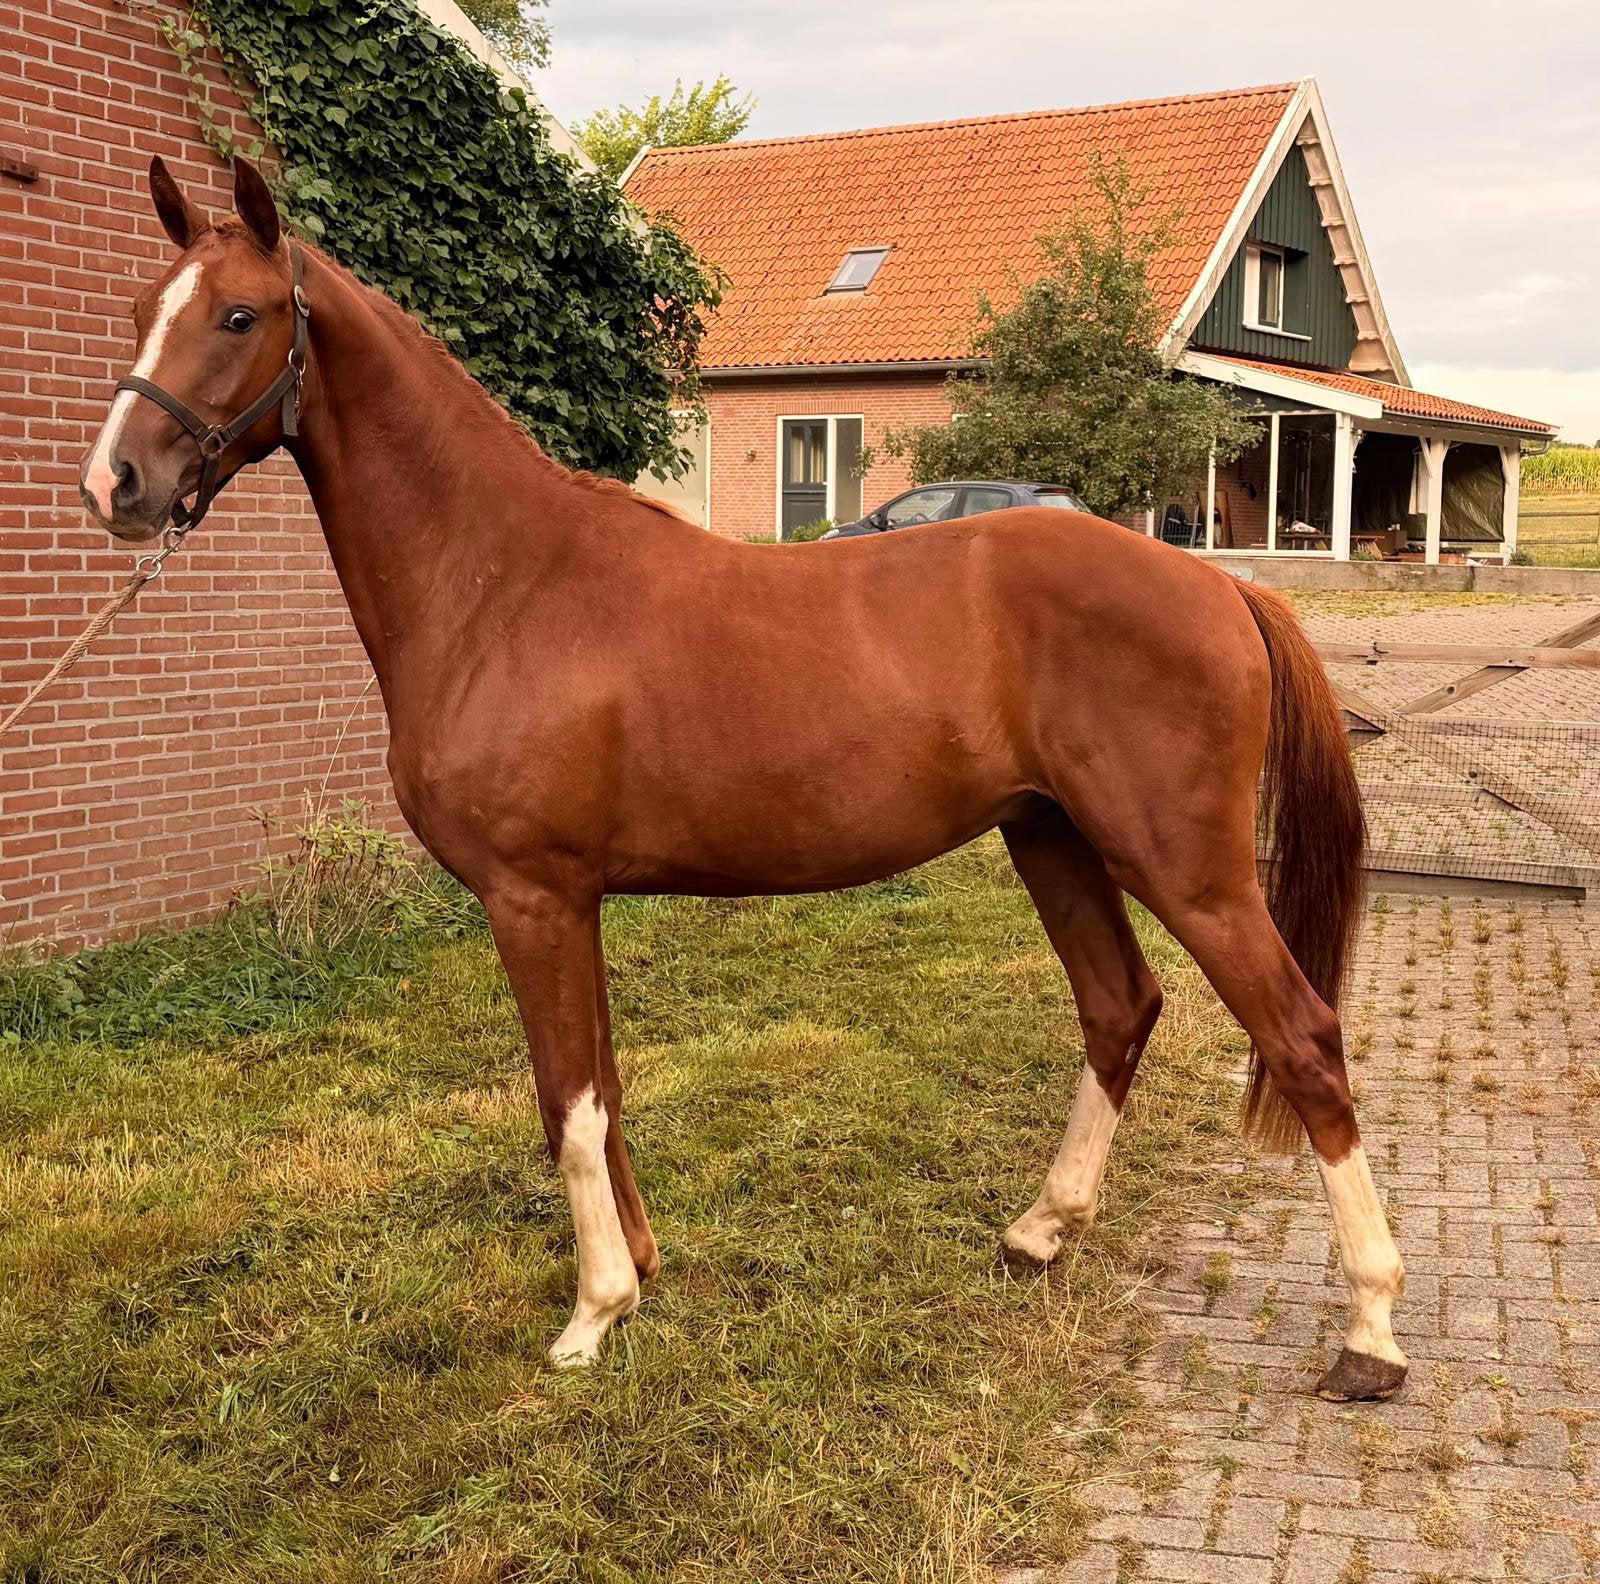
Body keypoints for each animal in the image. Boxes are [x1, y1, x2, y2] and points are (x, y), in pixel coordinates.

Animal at [77, 157, 1405, 1401]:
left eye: (239, 316)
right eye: (139, 306)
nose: (116, 486)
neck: (500, 583)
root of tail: (1218, 583)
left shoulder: (532, 898)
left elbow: (565, 1103)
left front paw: (592, 1314)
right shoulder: (572, 903)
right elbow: (603, 1090)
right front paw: (640, 1271)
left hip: (1182, 864)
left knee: (1301, 1037)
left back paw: (1371, 1332)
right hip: (1052, 839)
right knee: (1119, 1008)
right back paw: (1039, 1232)